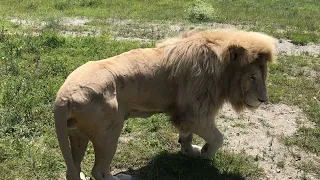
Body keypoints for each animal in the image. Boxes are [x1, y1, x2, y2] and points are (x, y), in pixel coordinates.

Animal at [53, 28, 276, 180]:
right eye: (252, 77)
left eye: (264, 76)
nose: (263, 100)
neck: (221, 71)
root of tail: (62, 97)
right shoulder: (197, 114)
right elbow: (218, 138)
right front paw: (205, 153)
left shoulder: (186, 112)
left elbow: (186, 136)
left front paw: (190, 151)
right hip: (109, 132)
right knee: (98, 171)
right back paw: (121, 178)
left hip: (77, 134)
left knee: (73, 169)